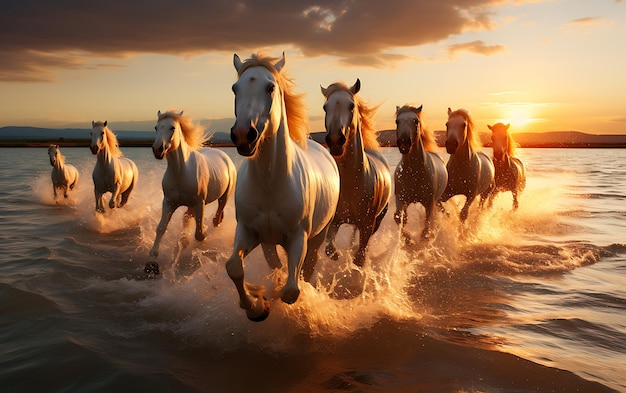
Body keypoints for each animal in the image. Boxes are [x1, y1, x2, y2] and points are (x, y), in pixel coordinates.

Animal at [149, 110, 236, 262]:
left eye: (172, 128)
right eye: (156, 127)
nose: (157, 149)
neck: (180, 172)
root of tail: (224, 156)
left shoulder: (199, 203)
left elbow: (199, 234)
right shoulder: (169, 202)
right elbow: (161, 227)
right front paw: (154, 255)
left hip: (223, 197)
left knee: (217, 218)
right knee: (188, 217)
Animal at [227, 52, 338, 322]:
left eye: (270, 88)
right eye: (235, 88)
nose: (243, 134)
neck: (270, 183)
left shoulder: (299, 237)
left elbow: (290, 290)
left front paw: (267, 298)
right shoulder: (248, 231)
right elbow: (234, 267)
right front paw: (257, 306)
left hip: (319, 235)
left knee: (306, 267)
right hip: (268, 242)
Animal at [322, 78, 390, 264]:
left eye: (351, 106)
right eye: (325, 107)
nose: (335, 140)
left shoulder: (367, 224)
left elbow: (360, 256)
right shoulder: (334, 222)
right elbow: (330, 249)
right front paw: (338, 255)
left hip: (377, 220)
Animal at [392, 105, 446, 239]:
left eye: (416, 121)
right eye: (397, 121)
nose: (404, 142)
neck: (414, 174)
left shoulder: (429, 203)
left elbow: (427, 227)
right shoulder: (401, 199)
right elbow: (399, 218)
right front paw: (408, 239)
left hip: (437, 199)